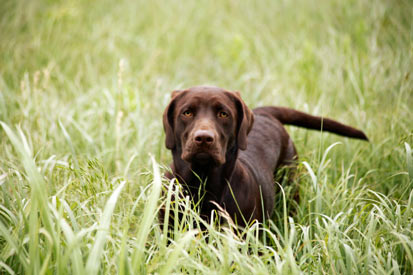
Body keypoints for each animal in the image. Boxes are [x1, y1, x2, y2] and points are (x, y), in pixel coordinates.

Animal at [162, 85, 366, 226]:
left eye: (223, 114)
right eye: (187, 112)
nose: (204, 138)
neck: (203, 184)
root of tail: (264, 113)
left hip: (290, 188)